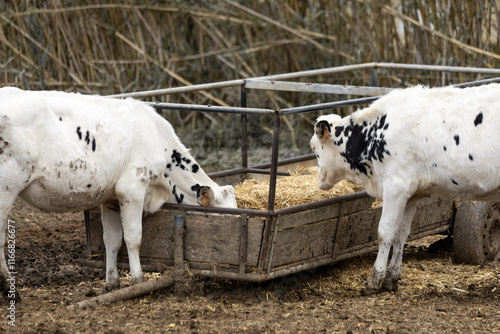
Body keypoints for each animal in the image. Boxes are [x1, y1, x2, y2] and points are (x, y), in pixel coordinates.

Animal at [0, 87, 238, 300]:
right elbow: (133, 237)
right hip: (7, 187)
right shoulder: (132, 188)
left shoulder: (110, 198)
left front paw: (112, 284)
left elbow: (112, 240)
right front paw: (138, 280)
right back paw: (10, 290)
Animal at [310, 83, 500, 294]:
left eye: (314, 149)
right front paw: (391, 278)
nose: (320, 181)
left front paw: (374, 280)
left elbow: (385, 232)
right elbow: (401, 233)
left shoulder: (395, 186)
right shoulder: (411, 194)